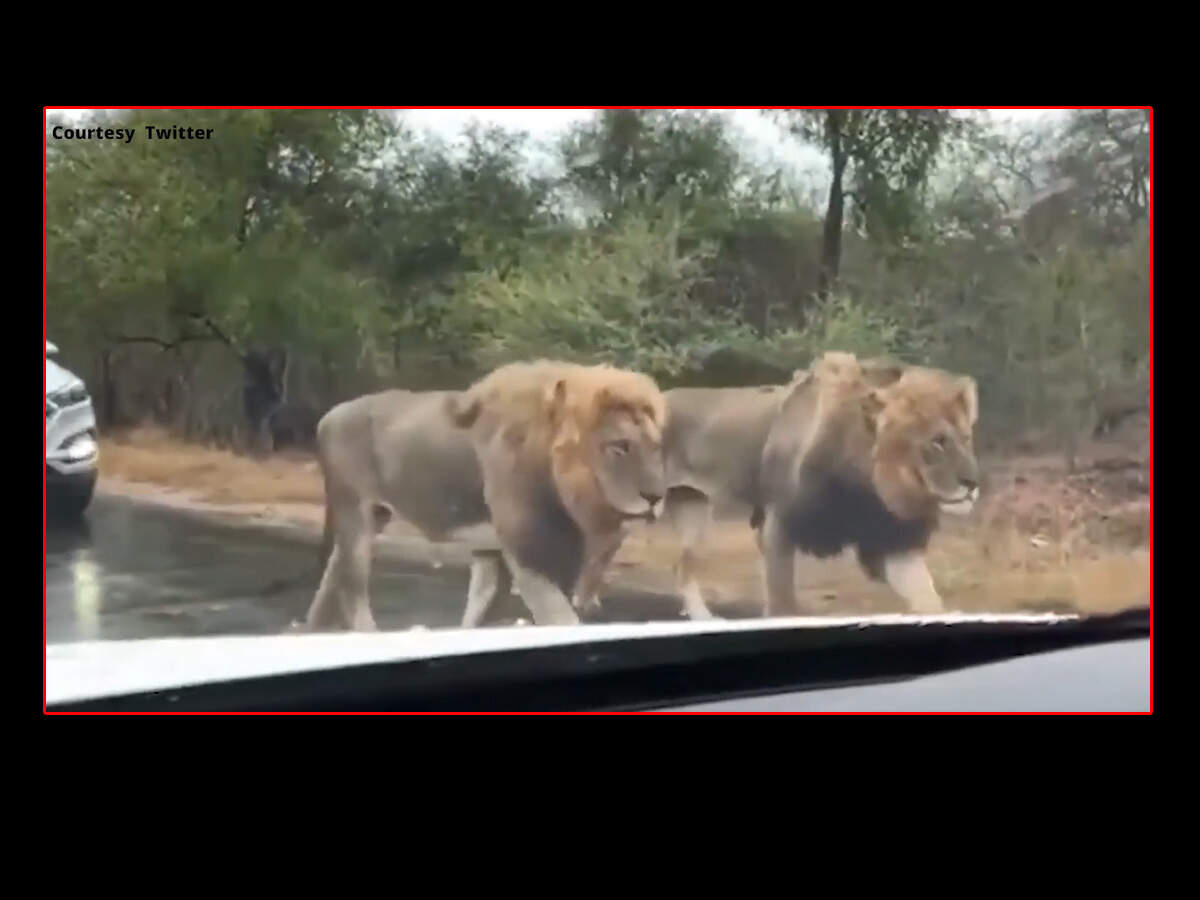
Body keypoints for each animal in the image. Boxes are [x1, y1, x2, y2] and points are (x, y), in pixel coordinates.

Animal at [301, 359, 667, 631]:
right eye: (619, 446)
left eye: (655, 446)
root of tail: (328, 415)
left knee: (333, 574)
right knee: (352, 589)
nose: (656, 497)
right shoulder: (528, 552)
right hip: (355, 515)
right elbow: (560, 618)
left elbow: (480, 613)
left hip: (371, 517)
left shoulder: (496, 552)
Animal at [660, 351, 980, 618]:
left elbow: (929, 601)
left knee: (682, 569)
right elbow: (782, 605)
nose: (974, 483)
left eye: (966, 438)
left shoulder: (890, 540)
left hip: (694, 512)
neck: (867, 487)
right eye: (937, 442)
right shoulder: (778, 526)